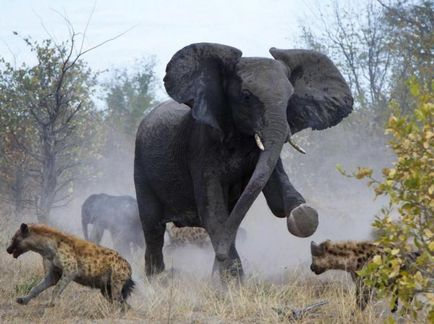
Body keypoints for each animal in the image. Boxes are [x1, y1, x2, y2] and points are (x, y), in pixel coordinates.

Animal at [135, 43, 352, 280]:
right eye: (246, 97)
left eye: (290, 98)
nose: (218, 257)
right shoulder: (201, 146)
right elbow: (213, 213)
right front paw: (230, 281)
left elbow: (277, 199)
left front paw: (302, 214)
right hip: (141, 169)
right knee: (153, 230)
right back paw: (157, 280)